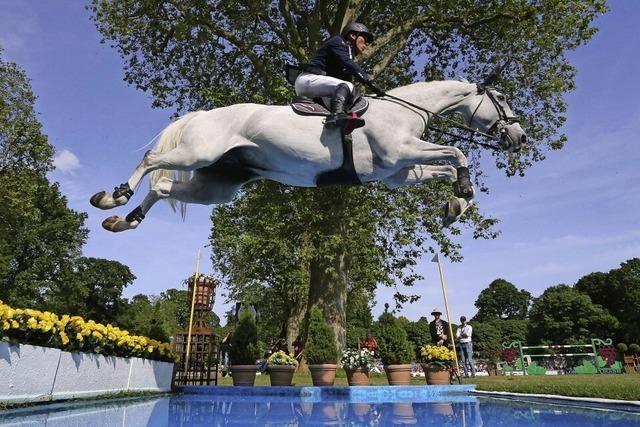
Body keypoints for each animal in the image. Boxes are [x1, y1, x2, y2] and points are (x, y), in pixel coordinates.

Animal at [92, 77, 528, 231]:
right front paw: (463, 194)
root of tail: (204, 114)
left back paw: (125, 221)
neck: (406, 109)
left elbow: (447, 167)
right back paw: (113, 198)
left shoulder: (397, 173)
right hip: (197, 152)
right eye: (503, 99)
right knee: (152, 163)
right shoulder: (401, 152)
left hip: (217, 187)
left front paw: (456, 203)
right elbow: (457, 151)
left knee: (164, 188)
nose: (520, 137)